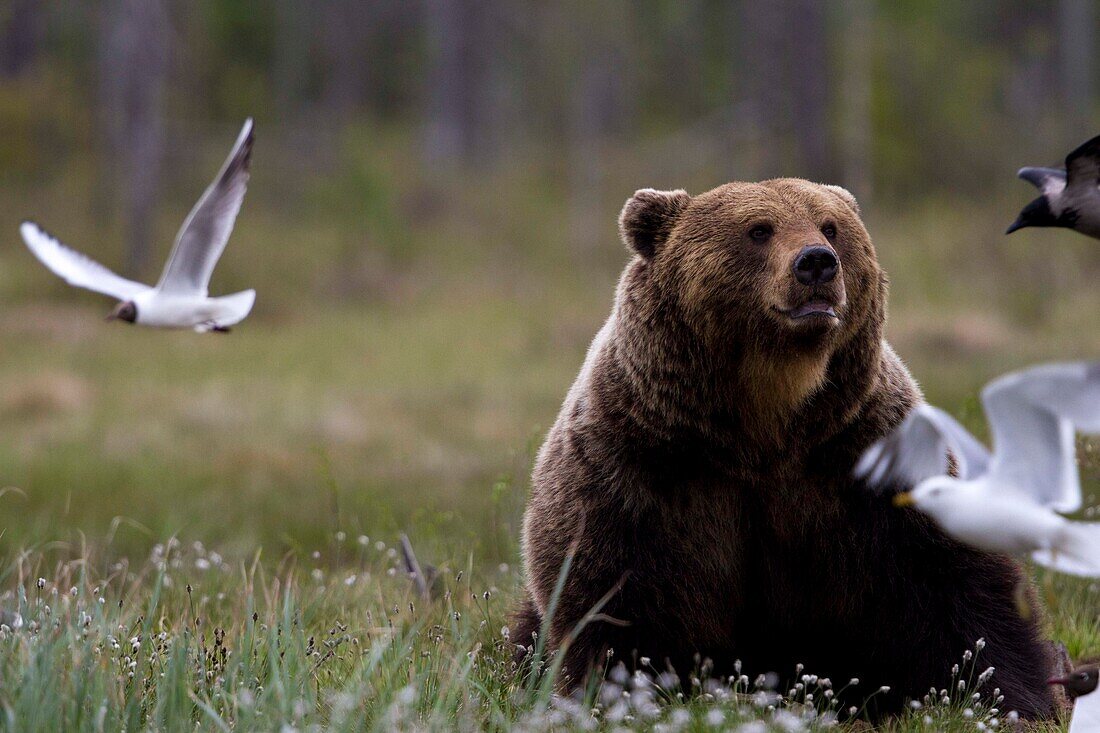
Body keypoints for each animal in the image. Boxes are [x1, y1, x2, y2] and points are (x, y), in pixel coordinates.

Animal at [514, 178, 1056, 717]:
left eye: (830, 226)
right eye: (759, 230)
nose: (816, 261)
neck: (767, 422)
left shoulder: (866, 458)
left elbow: (950, 581)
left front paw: (1007, 695)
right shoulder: (638, 464)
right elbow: (616, 595)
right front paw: (628, 691)